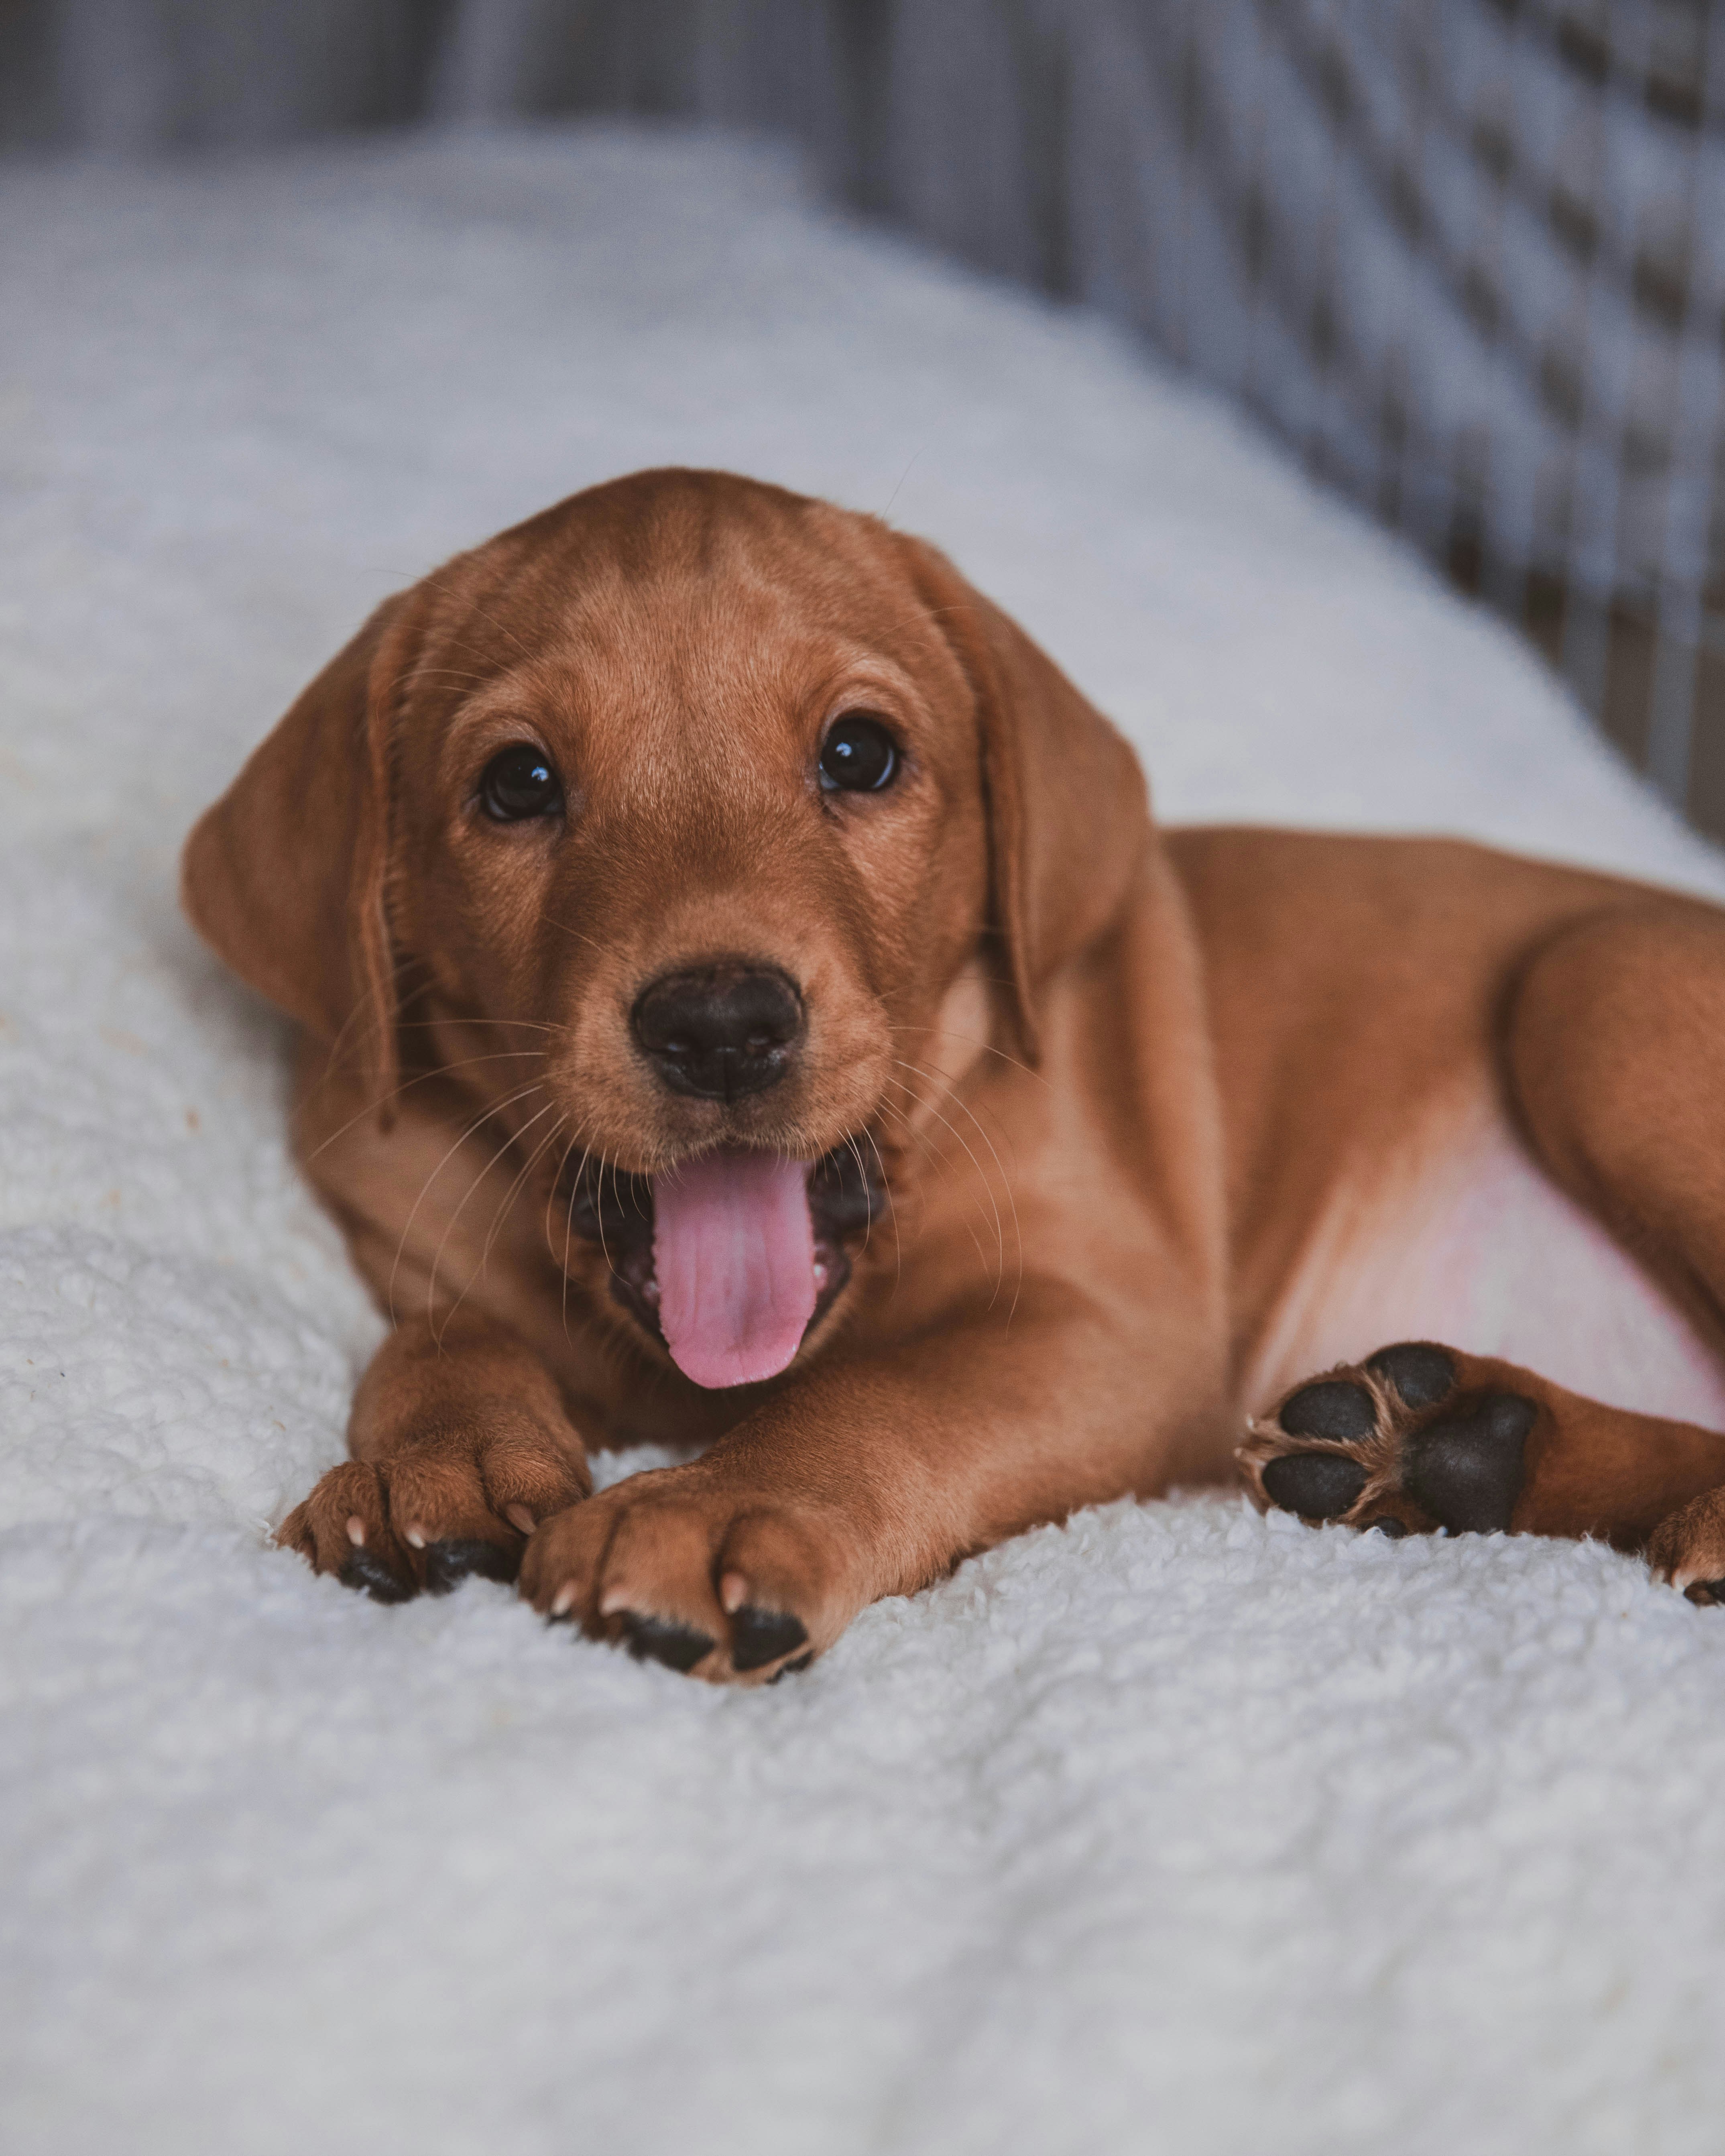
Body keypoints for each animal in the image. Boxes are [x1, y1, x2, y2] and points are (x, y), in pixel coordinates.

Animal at [179, 472, 1725, 1682]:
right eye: (518, 784)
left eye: (858, 752)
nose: (720, 1022)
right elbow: (441, 1331)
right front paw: (425, 1465)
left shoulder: (1111, 1326)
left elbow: (876, 1398)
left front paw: (712, 1507)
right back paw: (1454, 1447)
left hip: (1593, 988)